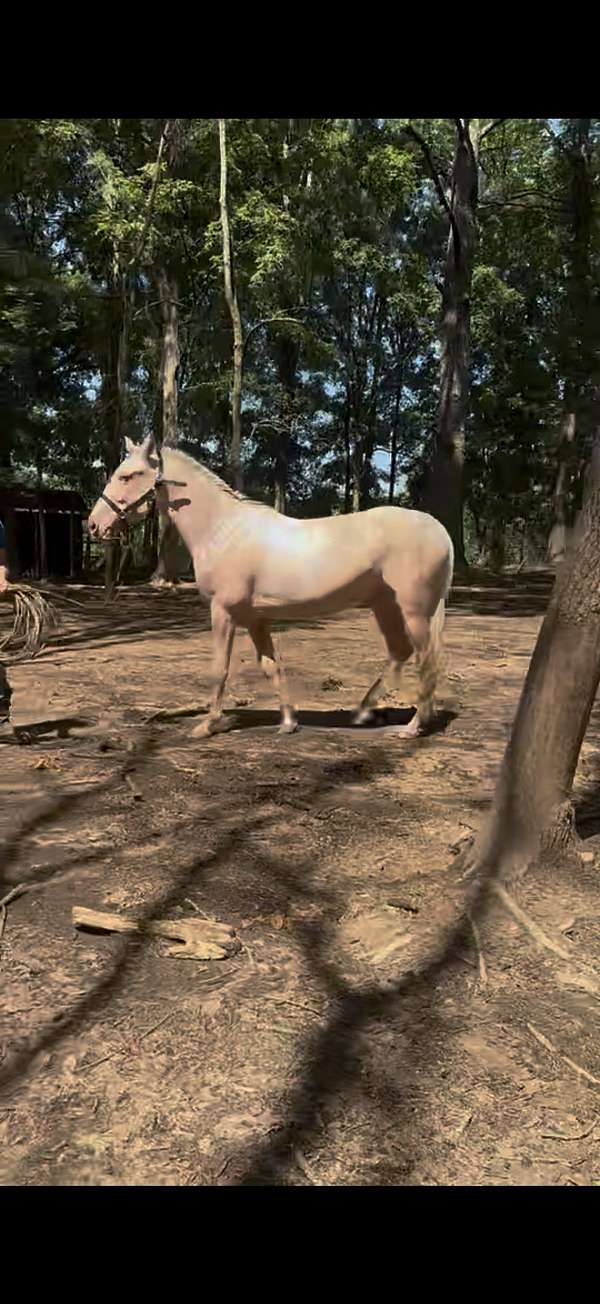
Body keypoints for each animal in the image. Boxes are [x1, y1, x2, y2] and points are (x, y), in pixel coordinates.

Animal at [88, 434, 454, 739]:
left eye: (128, 475)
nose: (93, 525)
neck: (222, 530)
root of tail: (440, 531)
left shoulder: (223, 612)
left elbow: (220, 668)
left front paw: (208, 725)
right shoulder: (255, 618)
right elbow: (271, 667)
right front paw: (288, 722)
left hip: (413, 611)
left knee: (425, 661)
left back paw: (412, 727)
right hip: (384, 606)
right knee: (400, 653)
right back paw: (364, 712)